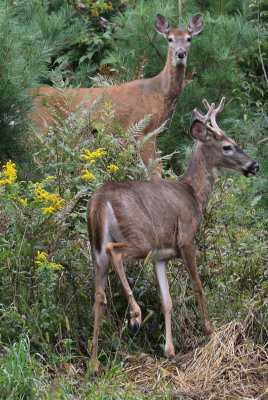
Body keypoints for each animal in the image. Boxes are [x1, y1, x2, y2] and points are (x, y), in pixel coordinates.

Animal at [30, 12, 203, 178]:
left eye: (189, 38)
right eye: (169, 39)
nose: (180, 53)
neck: (160, 93)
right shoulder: (143, 131)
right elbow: (155, 174)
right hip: (40, 127)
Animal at [87, 98, 258, 374]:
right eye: (227, 146)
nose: (254, 166)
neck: (194, 195)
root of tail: (99, 202)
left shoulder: (161, 257)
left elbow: (167, 300)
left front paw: (169, 350)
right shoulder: (187, 239)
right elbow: (198, 285)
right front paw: (210, 330)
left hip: (97, 251)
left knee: (98, 297)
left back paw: (94, 363)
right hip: (141, 236)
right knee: (116, 251)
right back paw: (135, 315)